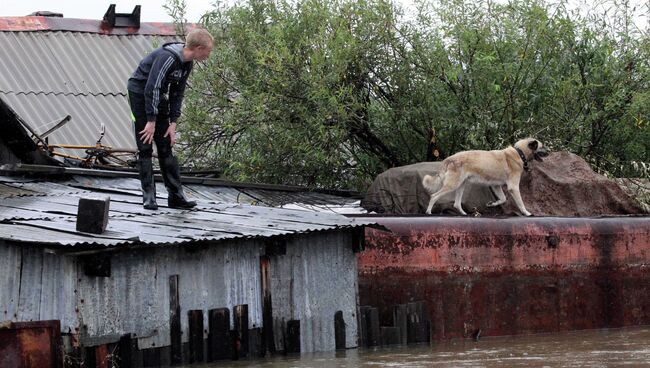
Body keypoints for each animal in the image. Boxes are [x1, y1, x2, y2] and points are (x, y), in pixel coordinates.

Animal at [420, 139, 548, 217]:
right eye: (542, 147)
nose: (549, 152)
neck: (519, 152)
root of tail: (449, 158)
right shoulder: (513, 187)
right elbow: (520, 203)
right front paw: (527, 213)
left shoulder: (496, 186)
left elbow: (503, 199)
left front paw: (492, 204)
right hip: (453, 185)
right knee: (434, 196)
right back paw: (428, 212)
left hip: (461, 185)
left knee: (456, 203)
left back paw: (464, 214)